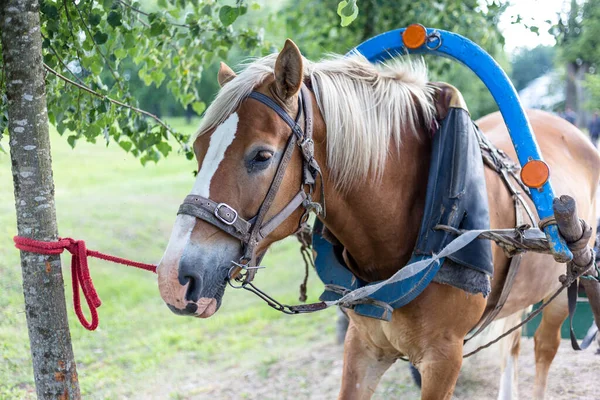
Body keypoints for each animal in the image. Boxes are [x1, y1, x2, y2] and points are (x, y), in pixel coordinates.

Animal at [156, 39, 600, 398]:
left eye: (261, 156)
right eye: (198, 149)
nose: (174, 279)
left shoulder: (444, 360)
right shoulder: (363, 345)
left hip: (563, 285)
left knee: (543, 351)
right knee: (515, 344)